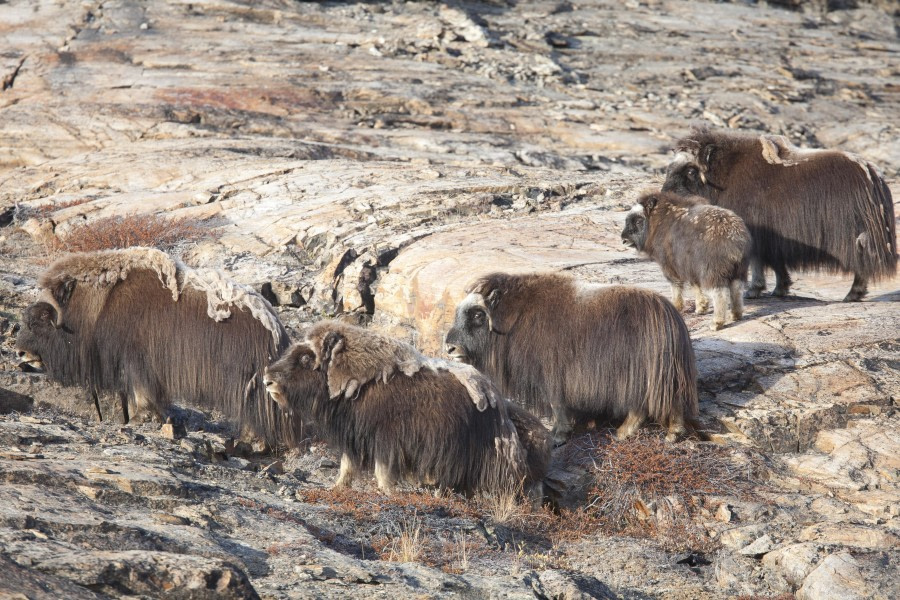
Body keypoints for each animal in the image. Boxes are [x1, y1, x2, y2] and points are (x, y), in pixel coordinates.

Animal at [15, 246, 298, 448]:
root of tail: (275, 328)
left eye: (42, 316)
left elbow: (142, 392)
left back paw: (250, 441)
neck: (99, 304)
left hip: (245, 383)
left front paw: (139, 419)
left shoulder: (137, 361)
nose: (21, 352)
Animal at [264, 322, 552, 500]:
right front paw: (336, 488)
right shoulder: (355, 438)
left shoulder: (385, 438)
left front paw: (386, 493)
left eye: (305, 358)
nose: (268, 380)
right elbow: (347, 467)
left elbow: (382, 470)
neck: (353, 379)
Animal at [446, 274, 700, 442]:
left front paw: (558, 435)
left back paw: (630, 433)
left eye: (477, 315)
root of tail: (671, 315)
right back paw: (667, 434)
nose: (450, 347)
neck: (513, 319)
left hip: (641, 375)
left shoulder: (550, 374)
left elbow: (557, 403)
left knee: (642, 405)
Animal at [620, 191, 752, 330]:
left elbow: (676, 285)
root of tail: (734, 236)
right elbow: (695, 285)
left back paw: (716, 323)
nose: (624, 239)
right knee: (737, 289)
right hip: (739, 270)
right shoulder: (689, 266)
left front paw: (677, 306)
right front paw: (701, 307)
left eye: (638, 221)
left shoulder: (669, 265)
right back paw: (735, 315)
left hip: (712, 272)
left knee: (720, 294)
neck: (658, 222)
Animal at [660, 126, 892, 300]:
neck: (723, 177)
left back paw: (853, 294)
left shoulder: (755, 233)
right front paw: (780, 288)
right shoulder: (773, 238)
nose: (665, 196)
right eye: (668, 168)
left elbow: (758, 261)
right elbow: (776, 263)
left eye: (691, 170)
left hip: (853, 237)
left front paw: (753, 290)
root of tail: (872, 176)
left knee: (861, 262)